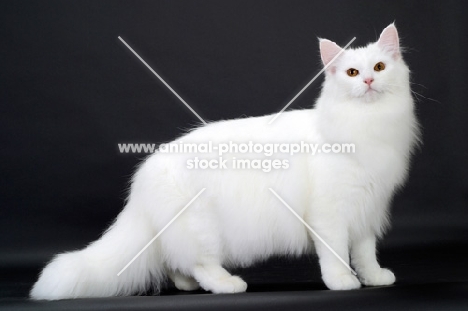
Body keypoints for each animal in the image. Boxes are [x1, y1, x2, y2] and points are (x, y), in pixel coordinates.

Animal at [32, 23, 420, 302]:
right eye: (353, 73)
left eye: (380, 67)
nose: (368, 81)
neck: (367, 127)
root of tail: (143, 177)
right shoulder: (330, 215)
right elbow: (337, 254)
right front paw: (342, 282)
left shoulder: (368, 210)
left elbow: (366, 254)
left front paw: (374, 279)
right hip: (203, 229)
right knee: (200, 264)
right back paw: (227, 285)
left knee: (178, 263)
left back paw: (188, 285)